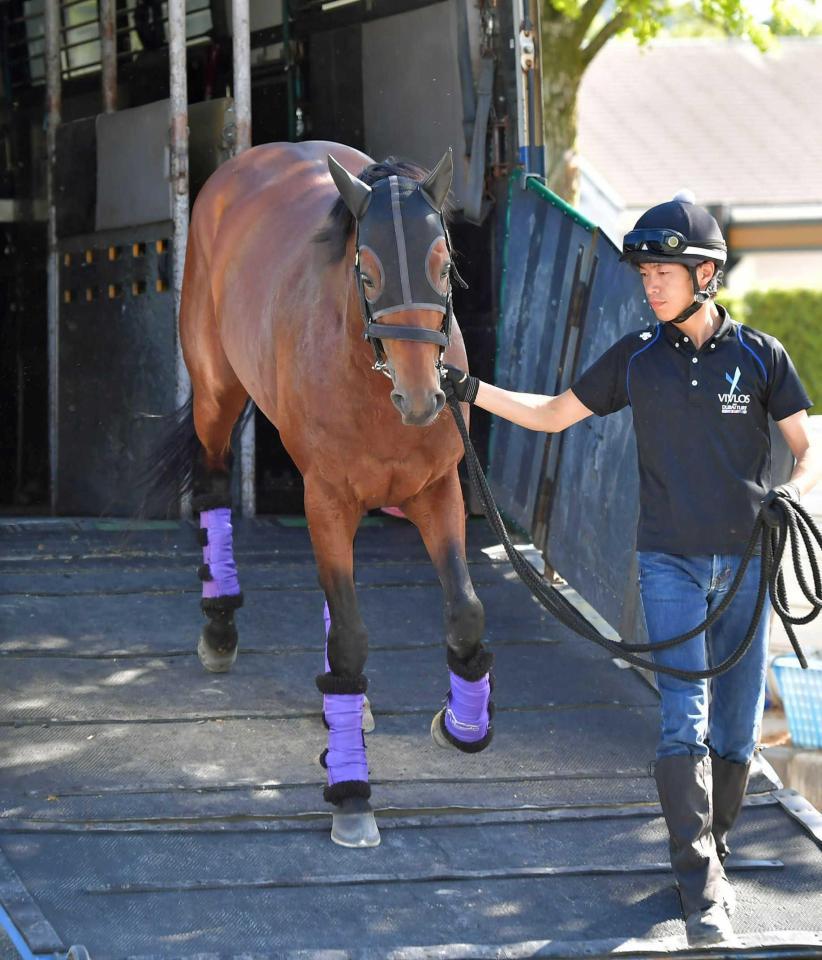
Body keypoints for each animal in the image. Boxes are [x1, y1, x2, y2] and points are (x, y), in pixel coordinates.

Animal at [167, 139, 492, 844]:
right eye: (365, 273)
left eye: (446, 264)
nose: (423, 399)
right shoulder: (326, 499)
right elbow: (349, 636)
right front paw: (351, 794)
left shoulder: (437, 493)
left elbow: (465, 611)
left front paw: (463, 726)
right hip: (214, 392)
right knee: (211, 484)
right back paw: (220, 629)